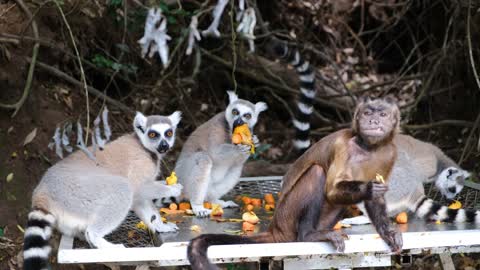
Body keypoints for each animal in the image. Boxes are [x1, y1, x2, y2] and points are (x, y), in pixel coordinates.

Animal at [188, 97, 402, 270]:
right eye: (367, 113)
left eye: (382, 114)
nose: (373, 121)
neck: (367, 148)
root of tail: (276, 228)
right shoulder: (343, 145)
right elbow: (332, 190)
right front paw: (369, 188)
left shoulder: (390, 151)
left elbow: (375, 199)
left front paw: (387, 231)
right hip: (287, 217)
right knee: (317, 172)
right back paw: (308, 235)